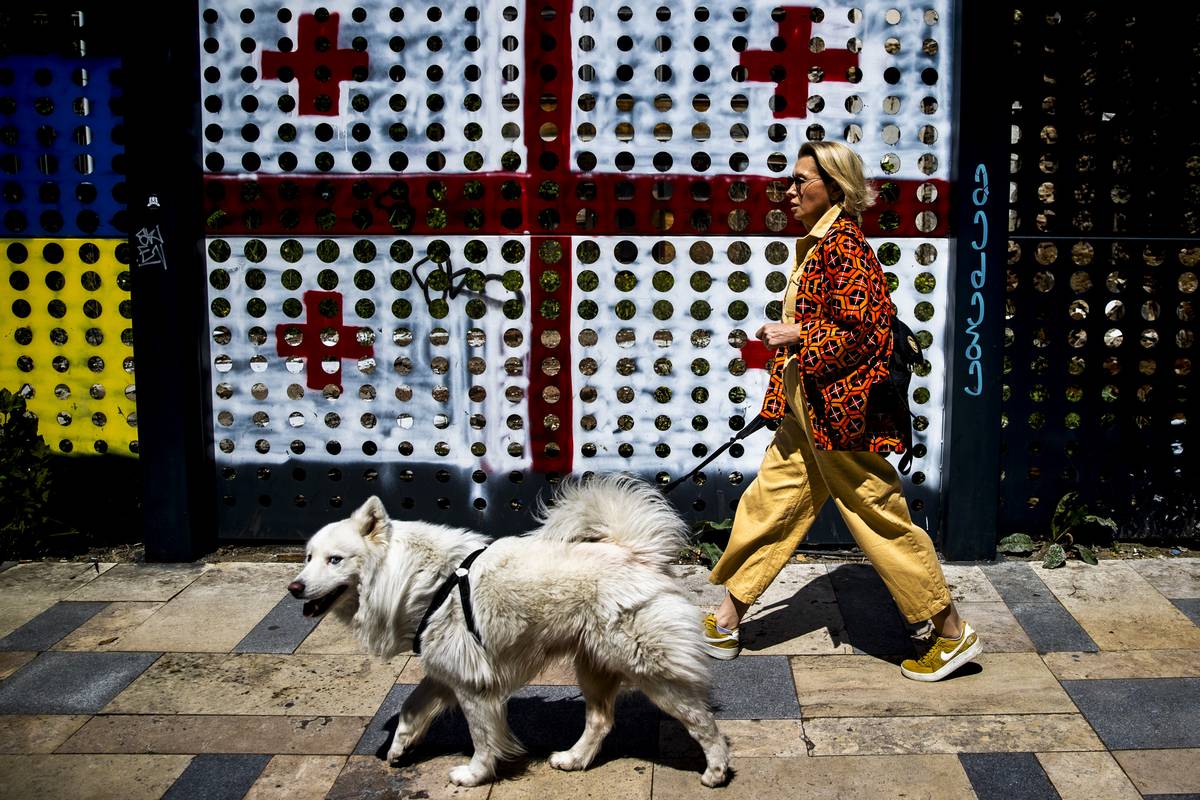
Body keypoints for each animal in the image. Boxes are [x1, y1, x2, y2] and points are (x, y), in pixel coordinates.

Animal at [290, 474, 729, 786]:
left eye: (334, 560)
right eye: (308, 557)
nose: (294, 588)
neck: (423, 581)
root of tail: (634, 552)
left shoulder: (472, 684)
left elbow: (483, 738)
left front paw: (473, 776)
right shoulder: (448, 670)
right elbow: (411, 709)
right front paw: (398, 750)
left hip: (649, 669)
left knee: (701, 720)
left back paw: (717, 770)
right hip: (593, 665)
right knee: (600, 720)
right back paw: (573, 759)